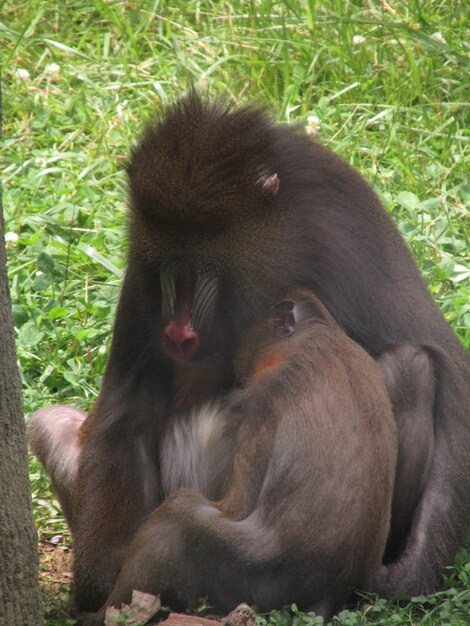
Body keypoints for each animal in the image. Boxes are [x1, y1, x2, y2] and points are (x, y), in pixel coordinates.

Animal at [34, 290, 396, 620]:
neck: (317, 334)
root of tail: (331, 592)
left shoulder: (260, 401)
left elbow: (234, 506)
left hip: (250, 575)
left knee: (182, 516)